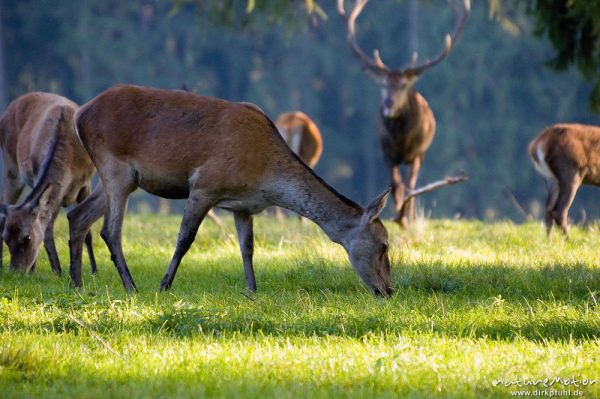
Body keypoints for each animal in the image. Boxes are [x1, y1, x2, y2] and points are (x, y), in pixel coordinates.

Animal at [0, 93, 96, 276]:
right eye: (6, 238)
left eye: (27, 238)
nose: (16, 272)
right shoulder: (45, 181)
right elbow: (48, 229)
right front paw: (57, 271)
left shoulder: (85, 183)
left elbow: (87, 231)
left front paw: (95, 271)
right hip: (10, 167)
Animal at [68, 84, 394, 296]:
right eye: (383, 246)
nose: (389, 290)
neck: (264, 176)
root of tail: (80, 114)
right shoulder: (203, 186)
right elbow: (185, 239)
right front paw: (165, 285)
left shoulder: (243, 206)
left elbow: (247, 248)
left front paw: (251, 290)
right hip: (115, 168)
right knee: (110, 230)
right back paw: (131, 286)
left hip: (120, 178)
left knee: (78, 215)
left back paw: (76, 282)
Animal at [338, 0, 468, 228]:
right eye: (383, 84)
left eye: (403, 85)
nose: (388, 104)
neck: (402, 140)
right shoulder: (387, 151)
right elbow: (395, 186)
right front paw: (397, 214)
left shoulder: (417, 152)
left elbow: (410, 187)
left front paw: (405, 216)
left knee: (413, 186)